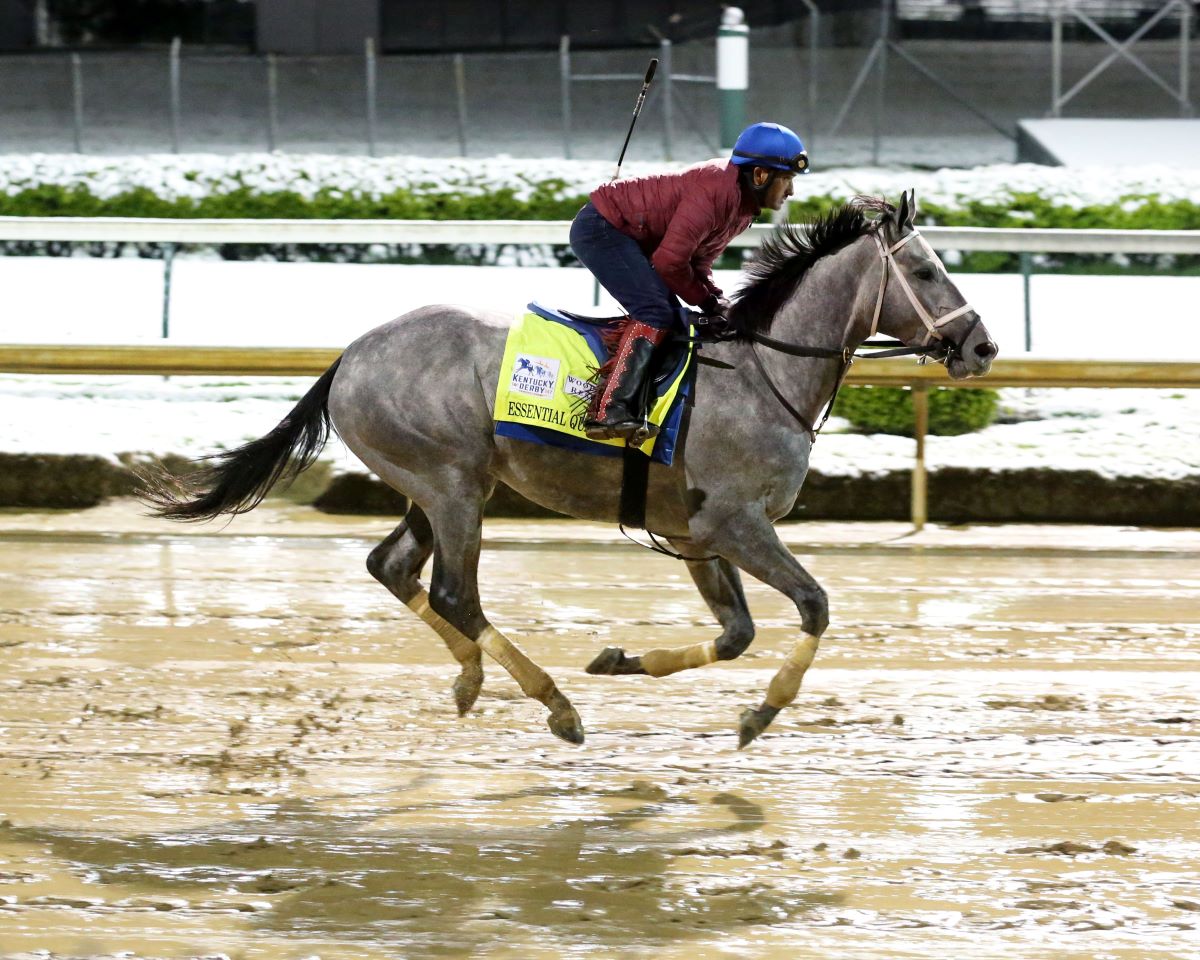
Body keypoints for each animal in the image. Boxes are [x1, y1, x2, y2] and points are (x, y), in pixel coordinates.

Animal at [145, 190, 998, 748]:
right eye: (927, 271)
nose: (982, 345)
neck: (764, 372)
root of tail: (350, 356)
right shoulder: (735, 521)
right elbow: (814, 605)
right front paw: (758, 716)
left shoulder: (694, 531)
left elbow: (736, 634)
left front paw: (619, 659)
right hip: (453, 486)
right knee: (455, 593)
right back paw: (552, 703)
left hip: (437, 484)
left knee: (393, 568)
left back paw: (471, 678)